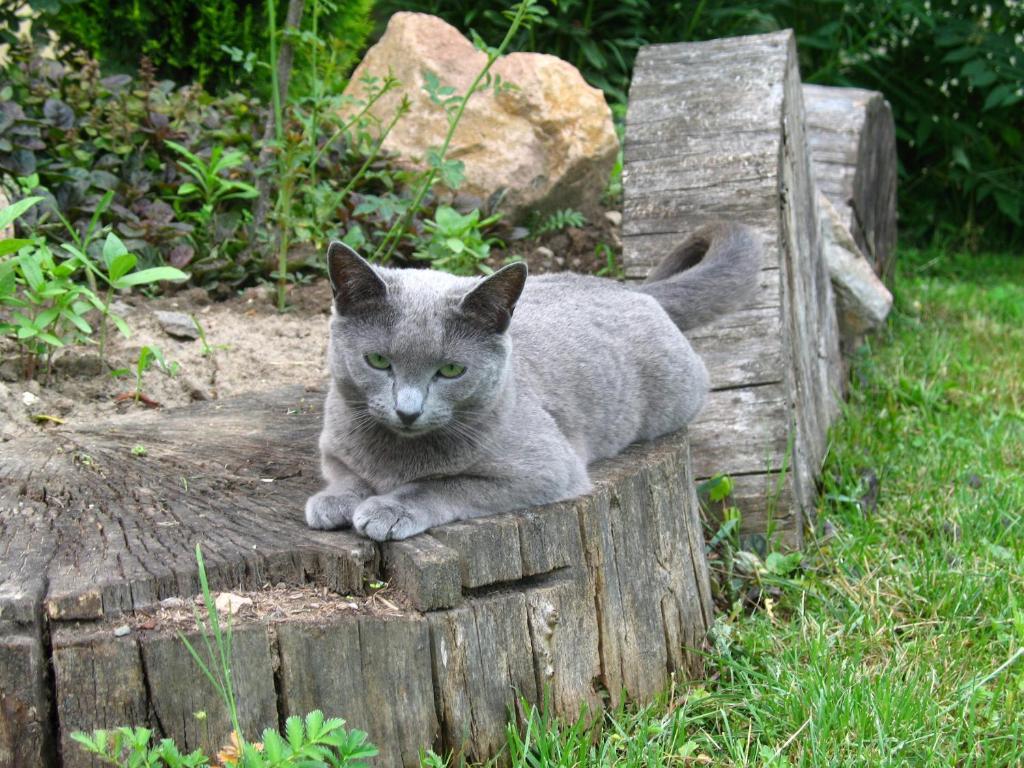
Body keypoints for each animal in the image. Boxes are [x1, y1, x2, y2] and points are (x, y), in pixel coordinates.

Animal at [303, 222, 761, 540]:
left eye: (450, 370)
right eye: (378, 361)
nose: (408, 410)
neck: (396, 456)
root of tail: (635, 290)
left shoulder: (546, 469)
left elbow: (443, 484)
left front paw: (388, 510)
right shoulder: (333, 443)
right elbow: (347, 473)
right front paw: (335, 500)